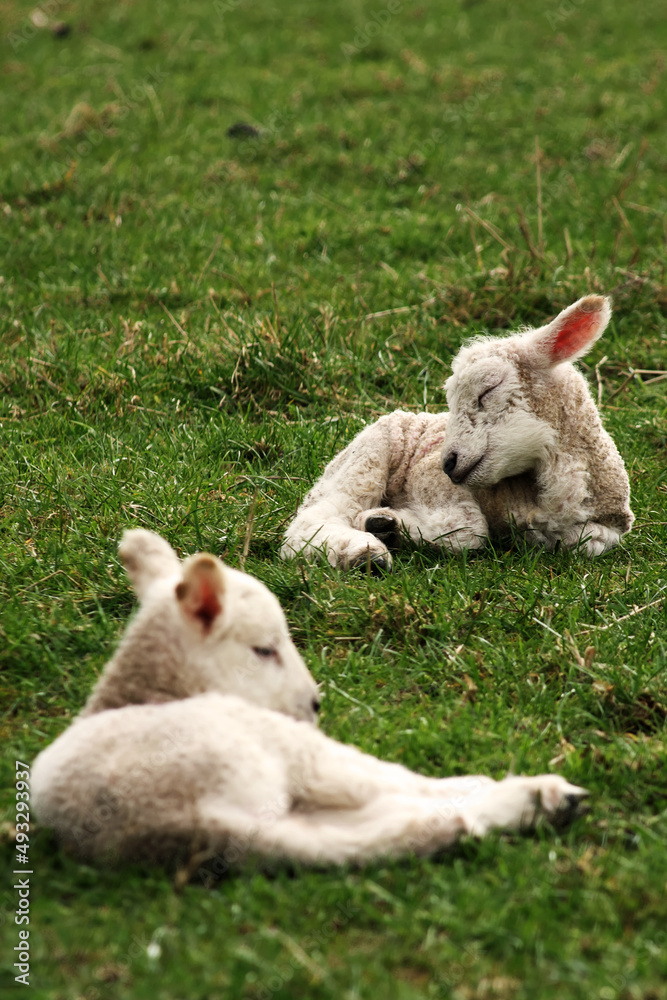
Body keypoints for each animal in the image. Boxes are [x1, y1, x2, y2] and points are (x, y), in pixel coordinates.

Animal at [31, 529, 587, 868]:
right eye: (264, 649)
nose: (315, 705)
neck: (142, 690)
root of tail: (188, 819)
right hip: (276, 747)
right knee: (406, 791)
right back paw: (538, 794)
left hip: (287, 825)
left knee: (391, 831)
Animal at [281, 295, 633, 570]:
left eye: (487, 390)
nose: (447, 462)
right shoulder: (429, 478)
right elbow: (468, 529)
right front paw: (383, 524)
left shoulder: (603, 530)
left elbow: (585, 541)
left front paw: (389, 526)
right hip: (368, 454)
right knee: (312, 521)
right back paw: (364, 554)